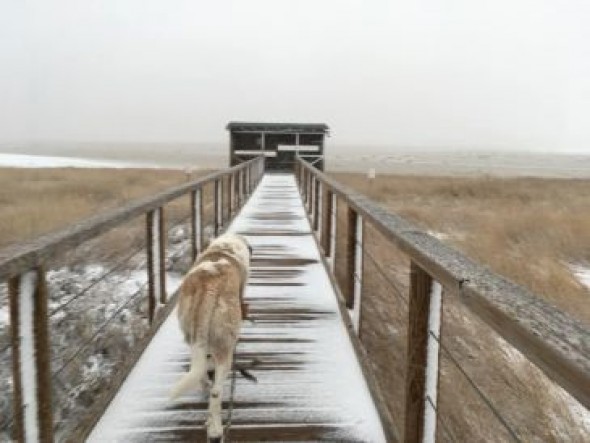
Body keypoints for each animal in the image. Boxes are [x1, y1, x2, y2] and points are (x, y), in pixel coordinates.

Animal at [172, 234, 253, 442]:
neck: (226, 247)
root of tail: (208, 286)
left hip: (191, 331)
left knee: (200, 368)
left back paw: (204, 384)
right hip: (225, 347)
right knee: (216, 392)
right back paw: (215, 428)